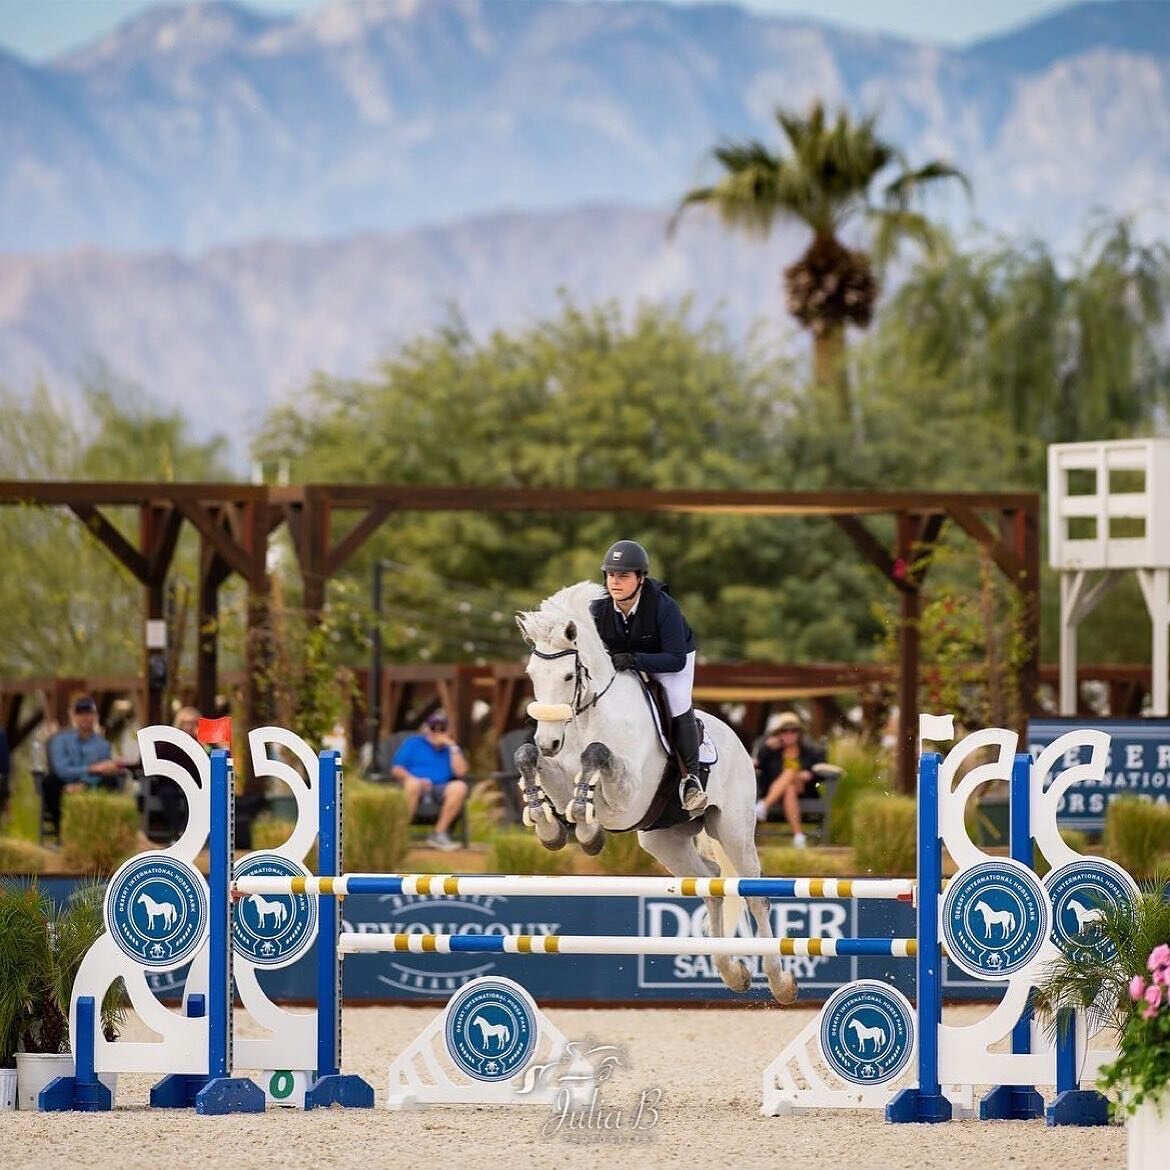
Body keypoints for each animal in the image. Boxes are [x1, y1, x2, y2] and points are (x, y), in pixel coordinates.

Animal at [514, 580, 795, 1001]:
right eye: (532, 673)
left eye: (566, 676)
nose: (549, 741)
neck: (589, 717)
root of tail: (737, 740)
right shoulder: (561, 778)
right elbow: (530, 759)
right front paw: (549, 824)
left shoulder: (628, 796)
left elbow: (597, 756)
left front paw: (586, 829)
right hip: (664, 839)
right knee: (711, 884)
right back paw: (733, 974)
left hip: (733, 830)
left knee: (755, 893)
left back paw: (780, 982)